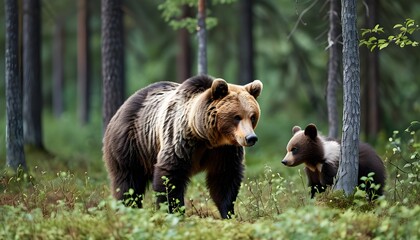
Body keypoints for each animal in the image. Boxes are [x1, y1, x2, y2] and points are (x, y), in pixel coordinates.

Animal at [102, 75, 262, 219]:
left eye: (252, 116)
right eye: (237, 117)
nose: (251, 138)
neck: (207, 138)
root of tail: (123, 106)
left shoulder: (224, 151)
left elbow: (224, 178)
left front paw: (228, 213)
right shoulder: (181, 140)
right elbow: (170, 175)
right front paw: (173, 212)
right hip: (132, 145)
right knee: (128, 182)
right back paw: (127, 210)